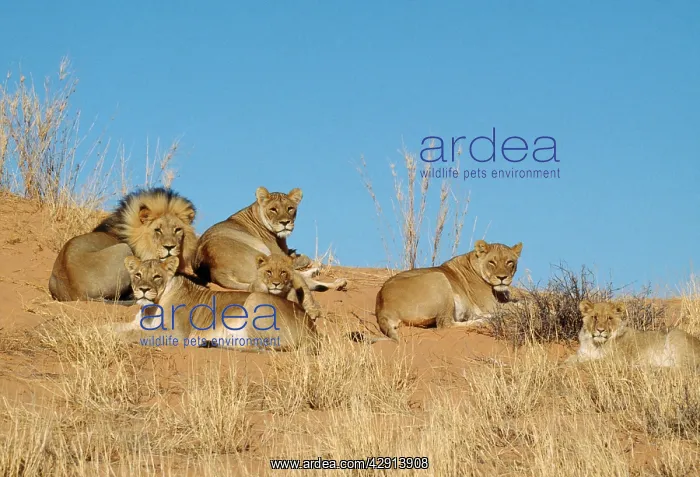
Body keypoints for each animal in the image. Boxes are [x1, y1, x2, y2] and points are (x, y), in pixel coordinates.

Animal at [112, 256, 319, 351]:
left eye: (156, 277)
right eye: (138, 275)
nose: (143, 289)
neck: (151, 307)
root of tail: (313, 330)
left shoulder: (177, 334)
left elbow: (137, 334)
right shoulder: (137, 323)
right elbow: (115, 326)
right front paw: (105, 331)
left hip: (254, 300)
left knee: (257, 347)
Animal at [193, 186, 347, 293]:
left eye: (290, 208)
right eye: (273, 209)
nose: (285, 222)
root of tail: (215, 269)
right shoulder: (279, 255)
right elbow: (303, 258)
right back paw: (338, 283)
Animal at [375, 239, 523, 341]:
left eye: (509, 262)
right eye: (492, 262)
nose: (502, 278)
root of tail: (382, 308)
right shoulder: (489, 306)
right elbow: (519, 305)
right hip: (439, 278)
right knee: (445, 325)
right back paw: (481, 321)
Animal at [565, 299, 700, 368]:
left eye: (609, 318)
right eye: (595, 317)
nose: (600, 330)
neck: (594, 344)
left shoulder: (616, 360)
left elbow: (591, 362)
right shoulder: (582, 354)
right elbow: (570, 359)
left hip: (675, 335)